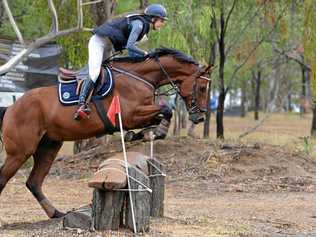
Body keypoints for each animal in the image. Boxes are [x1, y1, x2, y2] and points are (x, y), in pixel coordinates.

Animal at [0, 47, 212, 218]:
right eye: (202, 88)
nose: (199, 117)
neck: (140, 77)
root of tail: (10, 108)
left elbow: (163, 113)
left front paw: (145, 134)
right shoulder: (129, 115)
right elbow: (166, 109)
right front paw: (149, 133)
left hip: (48, 147)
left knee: (34, 182)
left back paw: (56, 213)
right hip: (20, 152)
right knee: (5, 178)